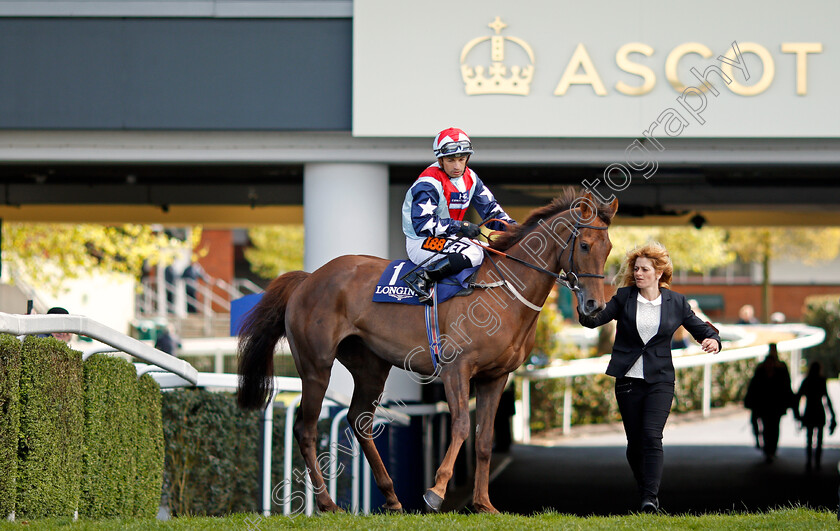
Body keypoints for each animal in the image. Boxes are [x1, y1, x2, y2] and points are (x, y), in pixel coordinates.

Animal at [236, 191, 616, 516]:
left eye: (609, 248)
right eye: (584, 245)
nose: (594, 307)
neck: (504, 289)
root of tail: (309, 278)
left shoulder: (496, 376)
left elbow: (484, 438)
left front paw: (483, 504)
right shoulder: (456, 368)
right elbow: (461, 426)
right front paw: (436, 492)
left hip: (371, 366)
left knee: (360, 420)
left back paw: (392, 498)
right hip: (316, 365)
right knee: (307, 428)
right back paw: (329, 503)